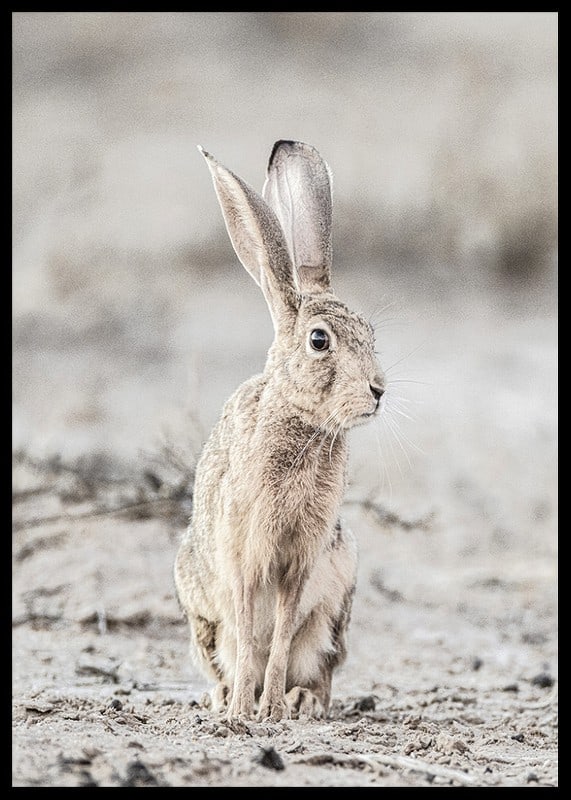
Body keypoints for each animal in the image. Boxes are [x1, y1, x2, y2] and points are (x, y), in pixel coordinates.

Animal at [174, 139, 386, 722]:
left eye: (370, 334)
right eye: (319, 341)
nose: (379, 390)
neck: (301, 423)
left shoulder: (301, 561)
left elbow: (283, 633)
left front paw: (271, 708)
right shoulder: (245, 554)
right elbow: (251, 632)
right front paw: (244, 710)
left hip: (337, 603)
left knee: (317, 665)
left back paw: (301, 699)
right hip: (200, 610)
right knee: (225, 651)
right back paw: (224, 697)